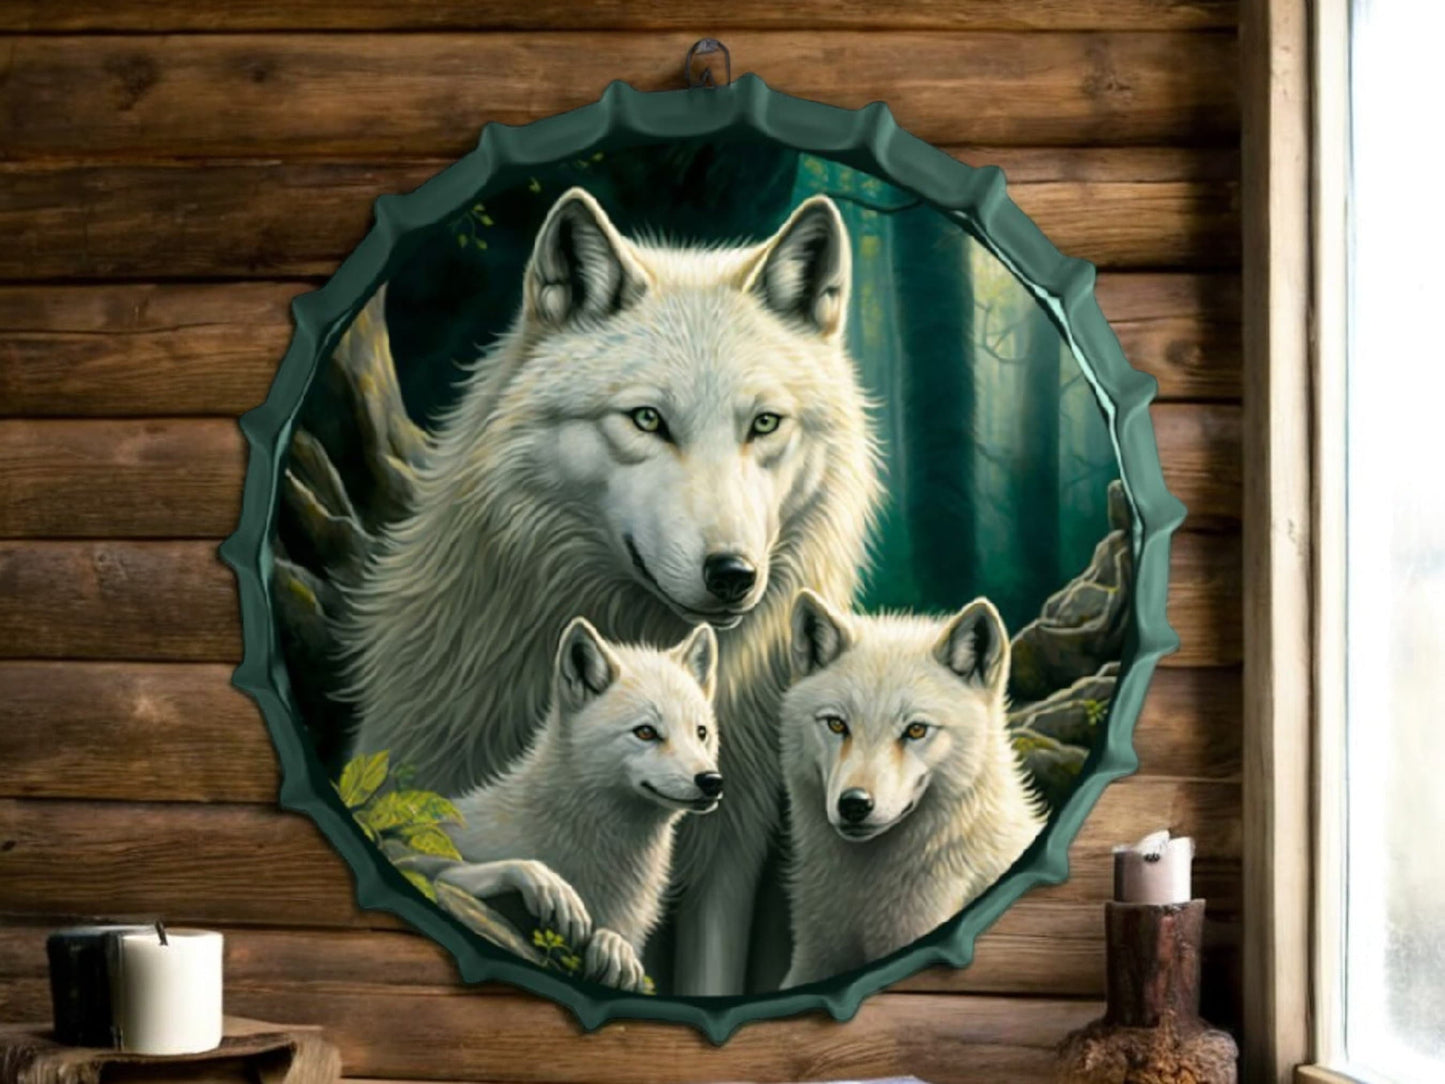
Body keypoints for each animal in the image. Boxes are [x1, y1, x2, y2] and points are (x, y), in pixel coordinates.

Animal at [432, 618, 721, 992]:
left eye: (701, 732)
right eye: (645, 732)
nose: (712, 781)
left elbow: (618, 942)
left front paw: (615, 948)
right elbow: (447, 869)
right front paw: (551, 888)